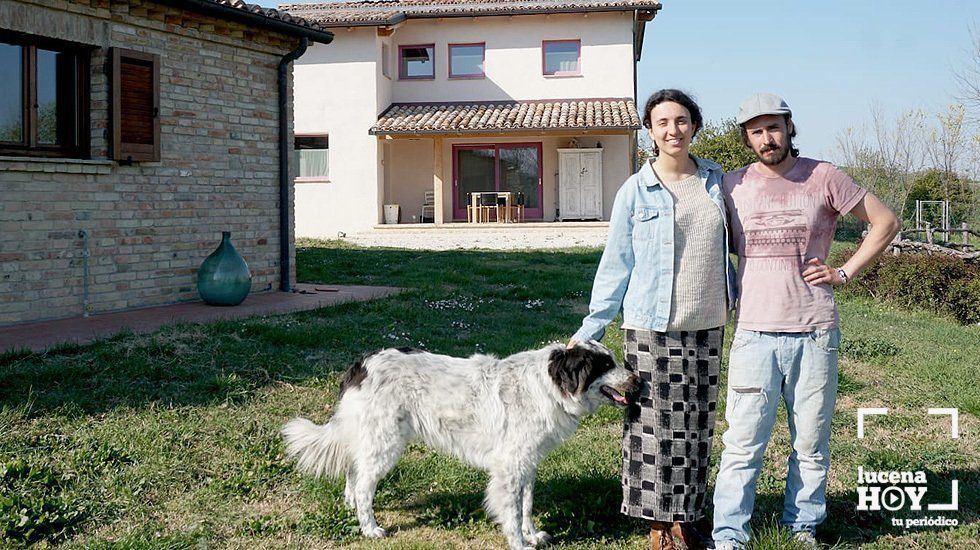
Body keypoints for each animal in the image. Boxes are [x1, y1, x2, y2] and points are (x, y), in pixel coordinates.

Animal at [280, 342, 640, 548]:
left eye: (614, 361)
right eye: (605, 365)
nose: (639, 381)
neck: (548, 386)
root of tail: (361, 364)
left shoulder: (527, 463)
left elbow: (525, 506)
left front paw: (533, 534)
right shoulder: (510, 467)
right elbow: (511, 512)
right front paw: (520, 544)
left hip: (373, 440)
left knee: (354, 473)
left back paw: (349, 508)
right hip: (386, 443)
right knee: (364, 487)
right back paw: (369, 528)